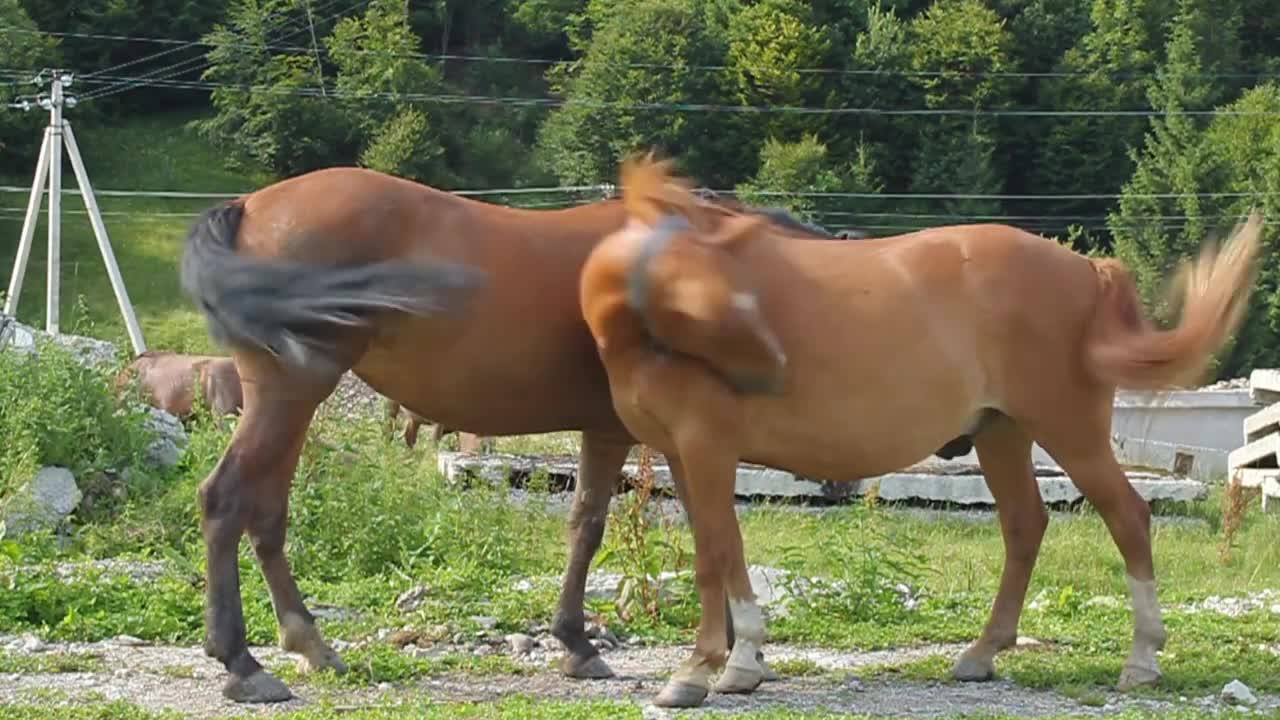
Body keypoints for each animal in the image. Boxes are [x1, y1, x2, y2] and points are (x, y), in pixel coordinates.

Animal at [581, 158, 1259, 707]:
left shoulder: (705, 448)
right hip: (1002, 433)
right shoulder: (685, 454)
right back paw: (982, 654)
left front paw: (699, 670)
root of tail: (1089, 271)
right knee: (1025, 525)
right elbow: (724, 549)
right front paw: (741, 663)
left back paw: (1141, 660)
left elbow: (713, 555)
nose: (771, 369)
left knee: (1127, 518)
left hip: (1069, 430)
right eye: (725, 293)